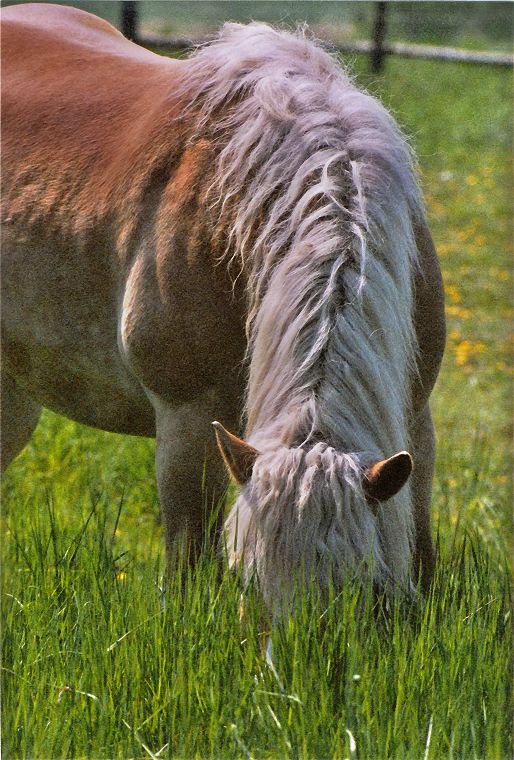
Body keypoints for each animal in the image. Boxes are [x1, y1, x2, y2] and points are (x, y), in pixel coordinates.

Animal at [2, 2, 444, 612]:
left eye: (362, 590)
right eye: (250, 584)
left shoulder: (416, 423)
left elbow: (422, 552)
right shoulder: (188, 424)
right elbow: (187, 563)